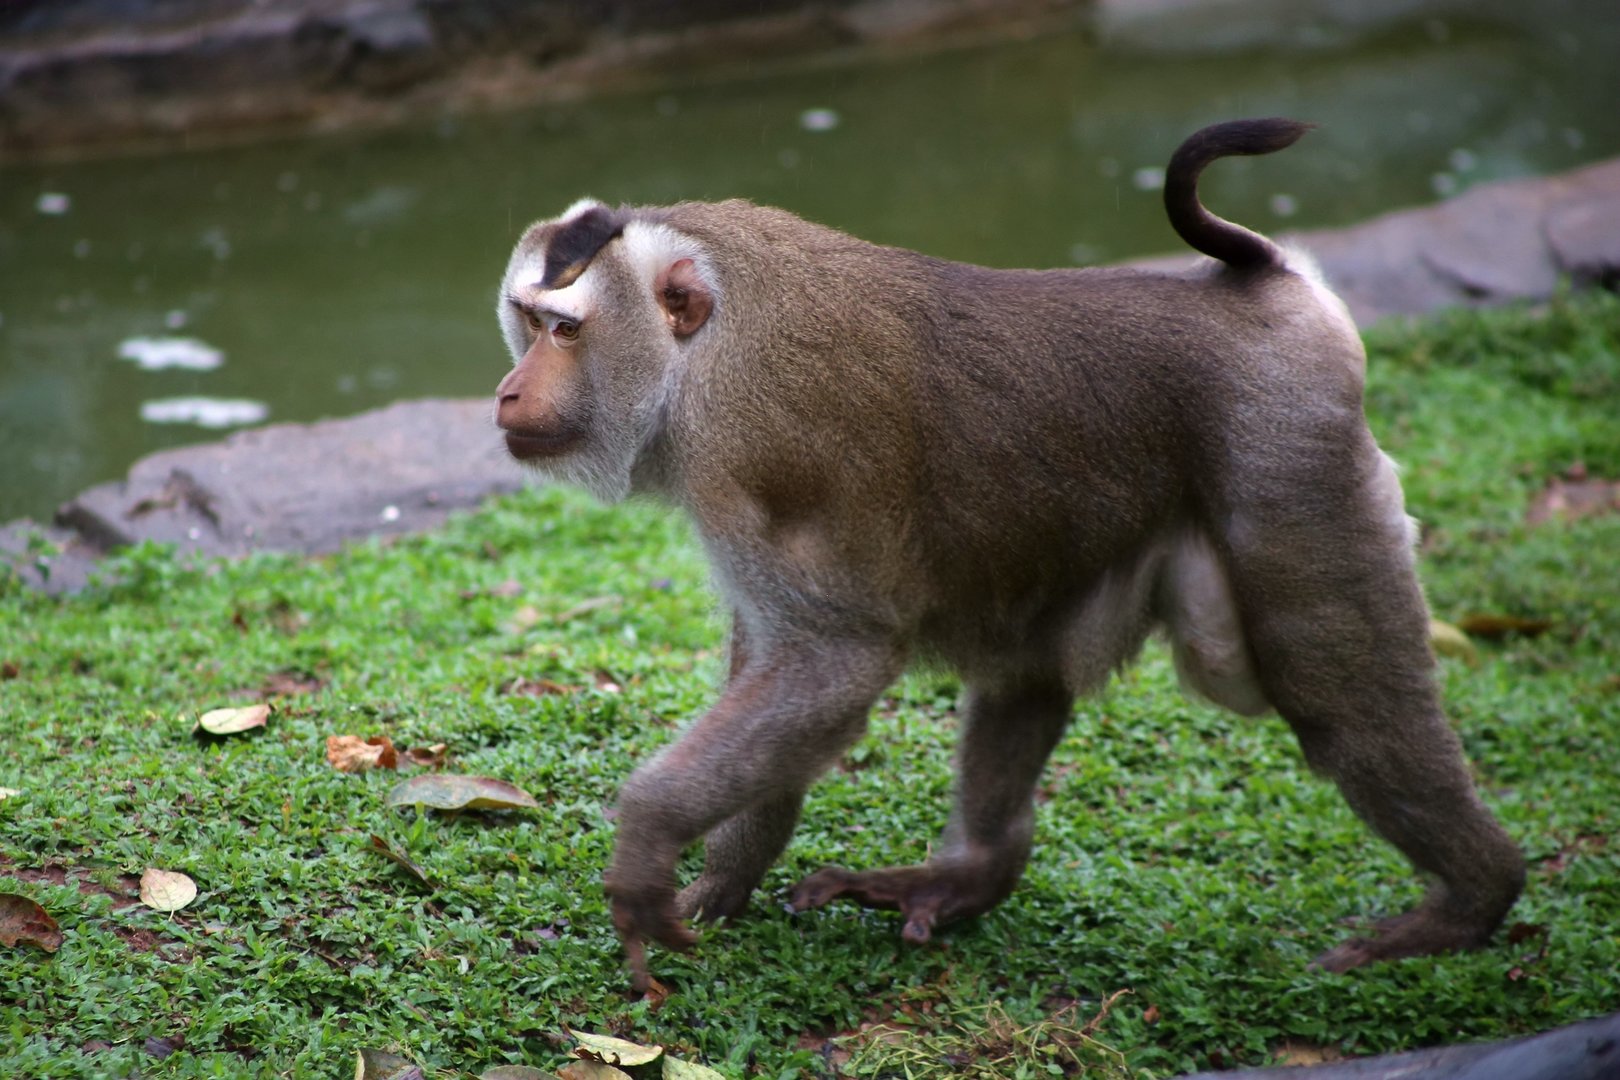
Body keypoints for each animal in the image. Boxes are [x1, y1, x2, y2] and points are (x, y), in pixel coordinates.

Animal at [493, 118, 1525, 991]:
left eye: (566, 329)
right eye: (528, 319)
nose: (506, 391)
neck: (695, 357)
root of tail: (1270, 284)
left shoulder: (754, 448)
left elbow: (835, 661)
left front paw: (648, 841)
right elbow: (782, 665)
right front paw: (724, 879)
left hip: (1289, 453)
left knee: (1335, 690)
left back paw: (1477, 895)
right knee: (1031, 662)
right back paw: (970, 875)